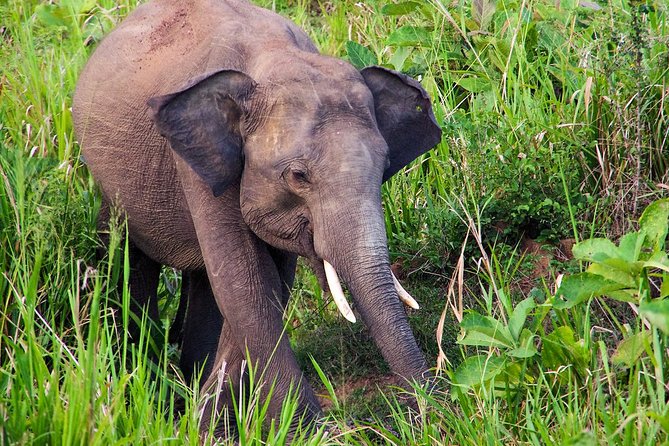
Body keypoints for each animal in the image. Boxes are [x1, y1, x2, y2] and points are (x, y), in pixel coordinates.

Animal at [72, 0, 441, 434]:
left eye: (384, 168)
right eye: (298, 176)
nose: (429, 412)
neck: (273, 57)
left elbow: (264, 283)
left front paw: (217, 419)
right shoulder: (197, 163)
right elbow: (245, 282)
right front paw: (309, 433)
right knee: (124, 254)